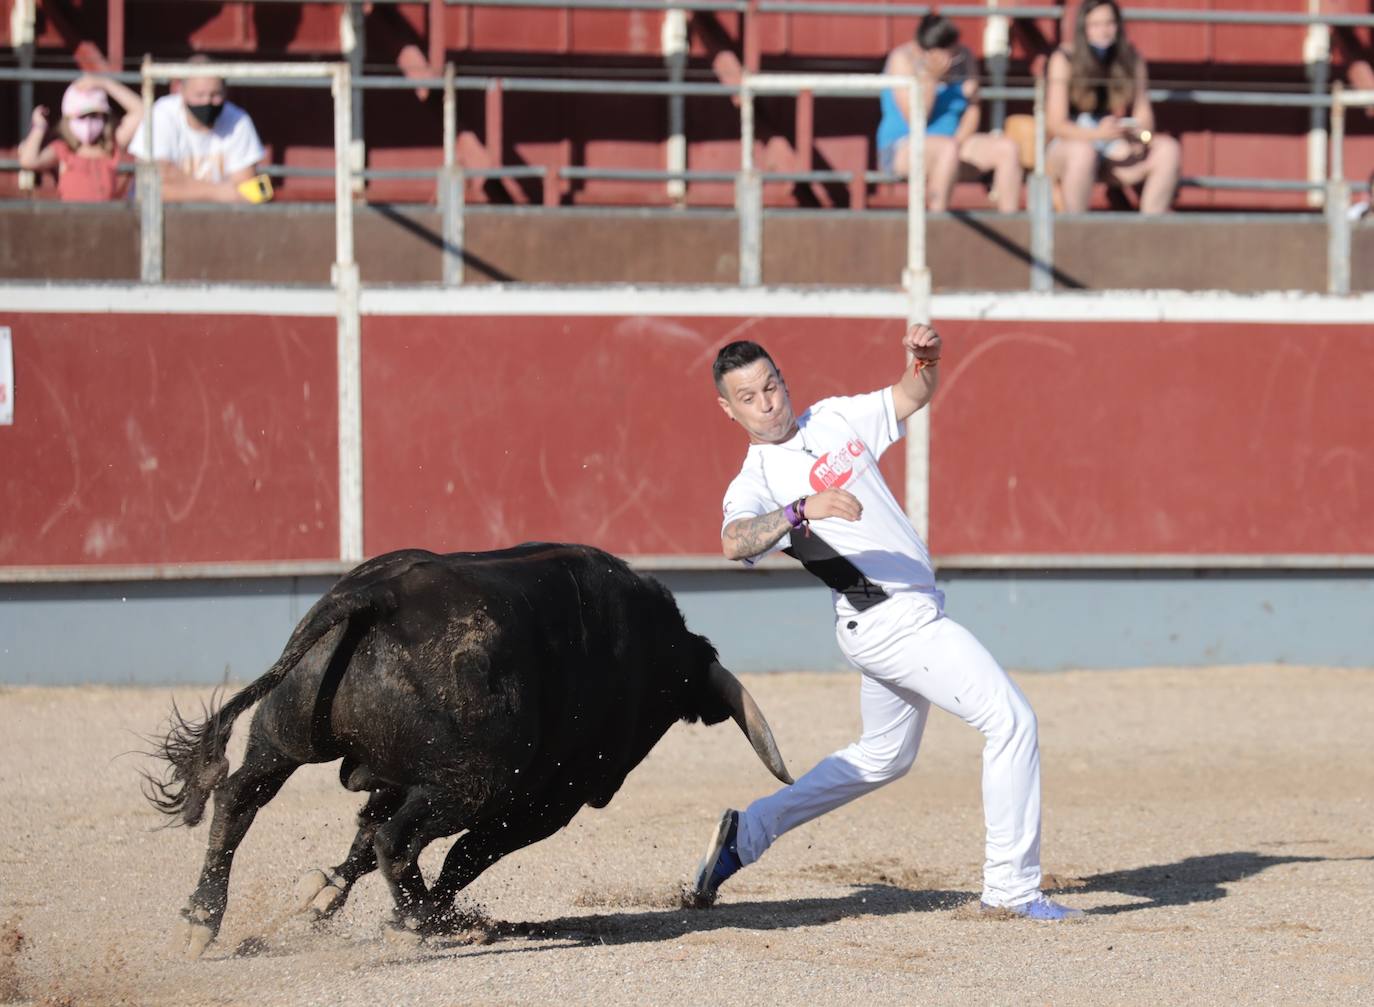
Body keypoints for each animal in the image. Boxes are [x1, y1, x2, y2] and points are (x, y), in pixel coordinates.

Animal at [143, 546, 791, 956]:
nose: (609, 789)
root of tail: (376, 596)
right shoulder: (544, 804)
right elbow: (465, 855)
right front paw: (432, 913)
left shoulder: (397, 779)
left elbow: (362, 838)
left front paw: (322, 893)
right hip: (473, 781)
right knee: (401, 840)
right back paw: (420, 922)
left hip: (284, 737)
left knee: (239, 800)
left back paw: (199, 921)